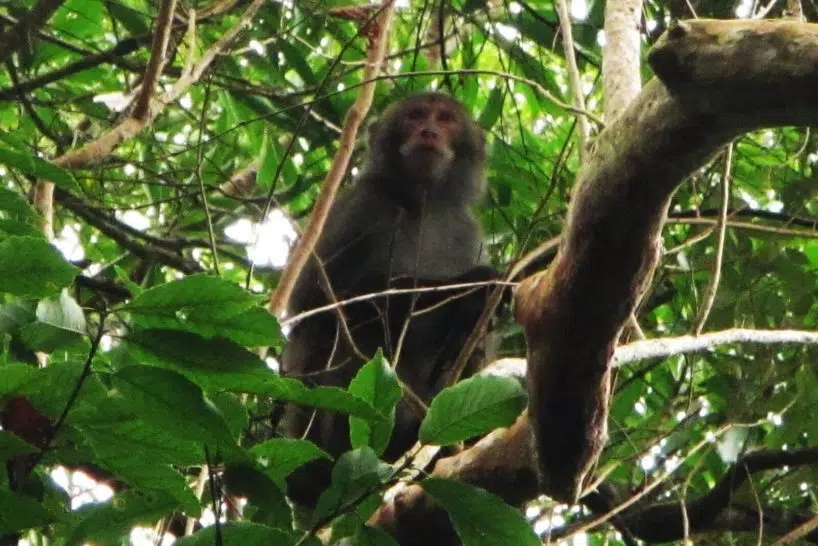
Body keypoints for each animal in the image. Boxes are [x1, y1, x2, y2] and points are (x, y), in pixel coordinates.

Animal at [280, 92, 502, 506]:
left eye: (445, 119)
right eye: (415, 116)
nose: (428, 131)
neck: (423, 203)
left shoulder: (466, 230)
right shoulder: (363, 204)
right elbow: (313, 301)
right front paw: (467, 287)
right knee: (343, 332)